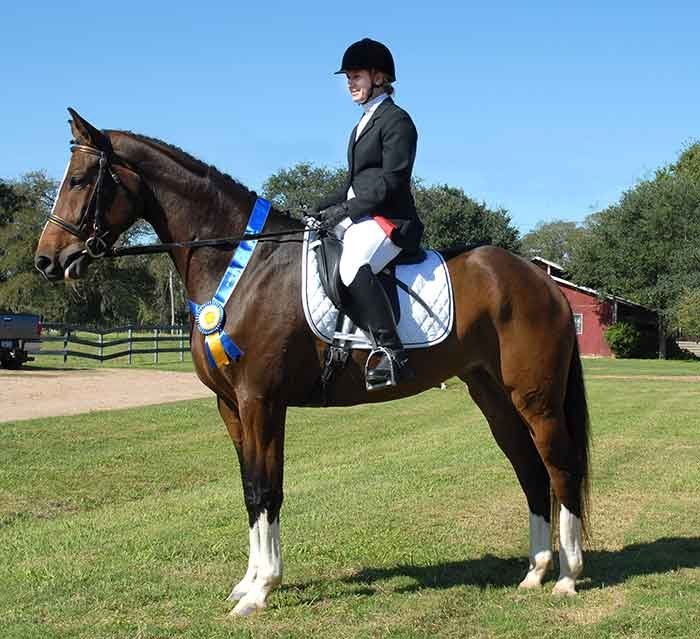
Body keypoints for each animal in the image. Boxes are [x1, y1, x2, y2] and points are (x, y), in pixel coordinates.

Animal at [35, 109, 590, 617]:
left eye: (80, 180)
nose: (46, 261)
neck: (241, 263)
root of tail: (543, 282)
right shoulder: (231, 406)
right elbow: (251, 489)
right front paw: (248, 583)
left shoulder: (261, 401)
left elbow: (266, 488)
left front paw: (260, 591)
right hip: (492, 394)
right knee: (529, 469)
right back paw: (535, 571)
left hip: (536, 399)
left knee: (559, 466)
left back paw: (567, 577)